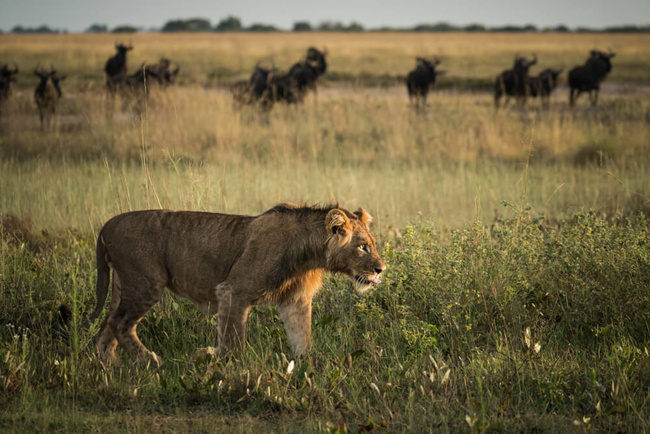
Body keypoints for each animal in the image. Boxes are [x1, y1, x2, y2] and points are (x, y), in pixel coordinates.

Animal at [90, 203, 384, 366]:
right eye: (363, 247)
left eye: (373, 244)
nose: (381, 269)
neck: (308, 253)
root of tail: (108, 224)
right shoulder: (233, 291)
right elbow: (234, 342)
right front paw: (212, 359)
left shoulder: (295, 301)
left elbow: (303, 337)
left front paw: (307, 365)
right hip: (147, 283)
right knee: (120, 323)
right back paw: (149, 361)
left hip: (122, 286)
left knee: (107, 327)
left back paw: (109, 366)